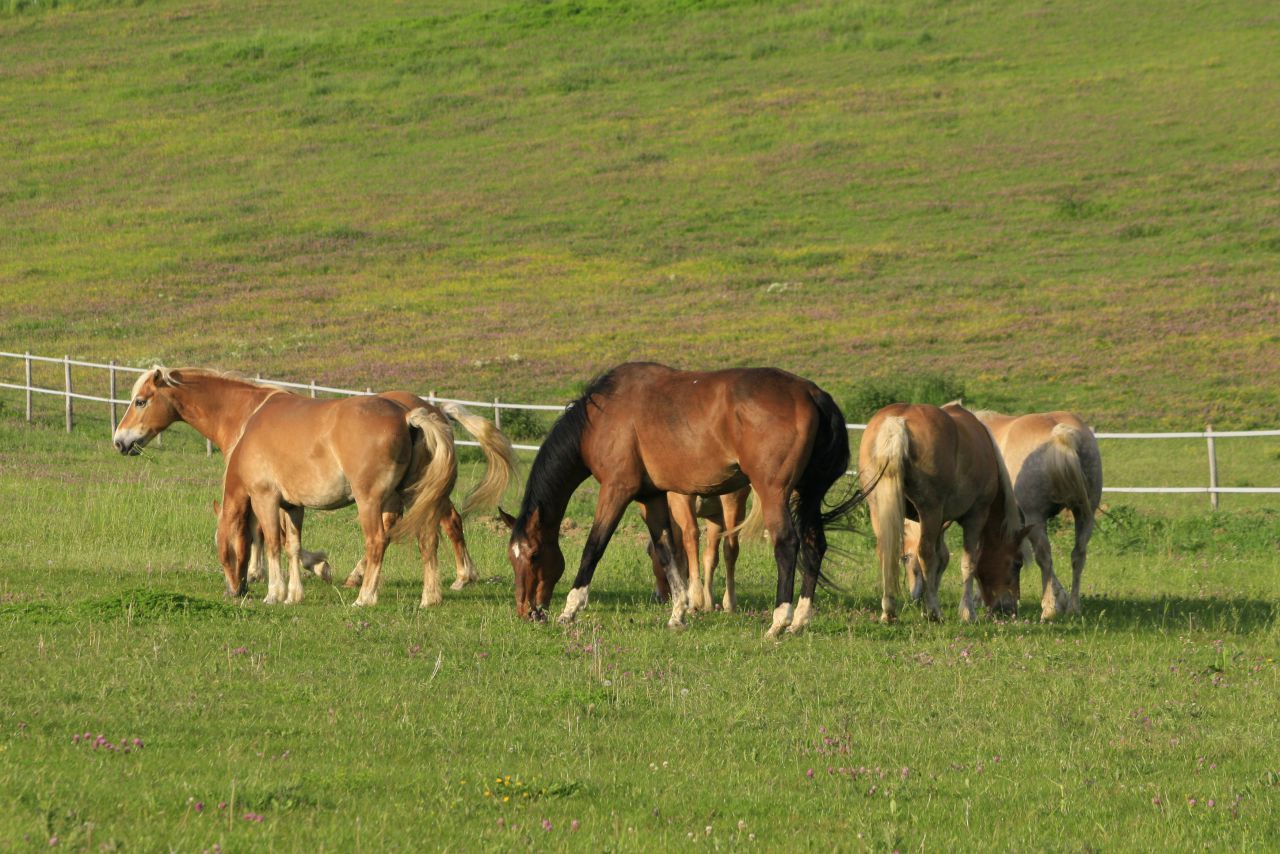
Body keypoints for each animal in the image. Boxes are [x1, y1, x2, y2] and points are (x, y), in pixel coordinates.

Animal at [111, 367, 511, 607]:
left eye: (140, 401)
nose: (120, 440)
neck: (246, 416)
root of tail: (413, 414)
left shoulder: (265, 497)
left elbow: (270, 541)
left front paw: (275, 590)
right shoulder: (293, 504)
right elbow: (291, 545)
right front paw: (295, 591)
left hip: (372, 501)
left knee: (379, 541)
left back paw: (366, 596)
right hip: (415, 498)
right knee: (429, 538)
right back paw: (431, 596)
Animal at [500, 363, 866, 637]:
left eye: (534, 555)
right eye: (512, 558)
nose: (525, 610)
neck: (601, 417)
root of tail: (811, 393)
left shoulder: (616, 490)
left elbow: (594, 547)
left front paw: (570, 609)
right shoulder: (651, 497)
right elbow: (665, 550)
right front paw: (678, 613)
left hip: (773, 491)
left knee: (787, 545)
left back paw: (779, 622)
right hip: (808, 493)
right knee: (814, 544)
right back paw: (800, 620)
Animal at [859, 402, 1026, 624]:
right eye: (1017, 564)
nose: (1010, 610)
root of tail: (898, 421)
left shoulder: (940, 523)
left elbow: (941, 559)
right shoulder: (976, 516)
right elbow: (968, 562)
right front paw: (967, 612)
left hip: (879, 510)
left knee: (886, 552)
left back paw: (890, 611)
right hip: (929, 510)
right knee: (925, 552)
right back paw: (933, 612)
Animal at [971, 410, 1102, 619]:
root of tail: (1059, 434)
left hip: (1036, 517)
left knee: (1044, 558)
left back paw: (1048, 609)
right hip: (1084, 514)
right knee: (1078, 555)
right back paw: (1073, 607)